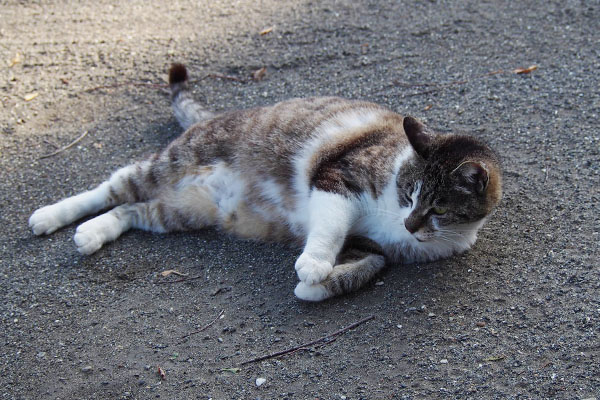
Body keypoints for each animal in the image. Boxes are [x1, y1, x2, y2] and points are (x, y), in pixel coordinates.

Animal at [30, 63, 504, 300]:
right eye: (408, 194)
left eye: (437, 208)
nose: (408, 224)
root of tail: (219, 115)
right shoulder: (336, 178)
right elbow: (329, 226)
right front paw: (313, 264)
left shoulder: (373, 248)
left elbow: (367, 267)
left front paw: (314, 287)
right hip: (173, 162)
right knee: (113, 186)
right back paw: (52, 217)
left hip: (184, 211)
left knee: (133, 210)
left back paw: (93, 233)